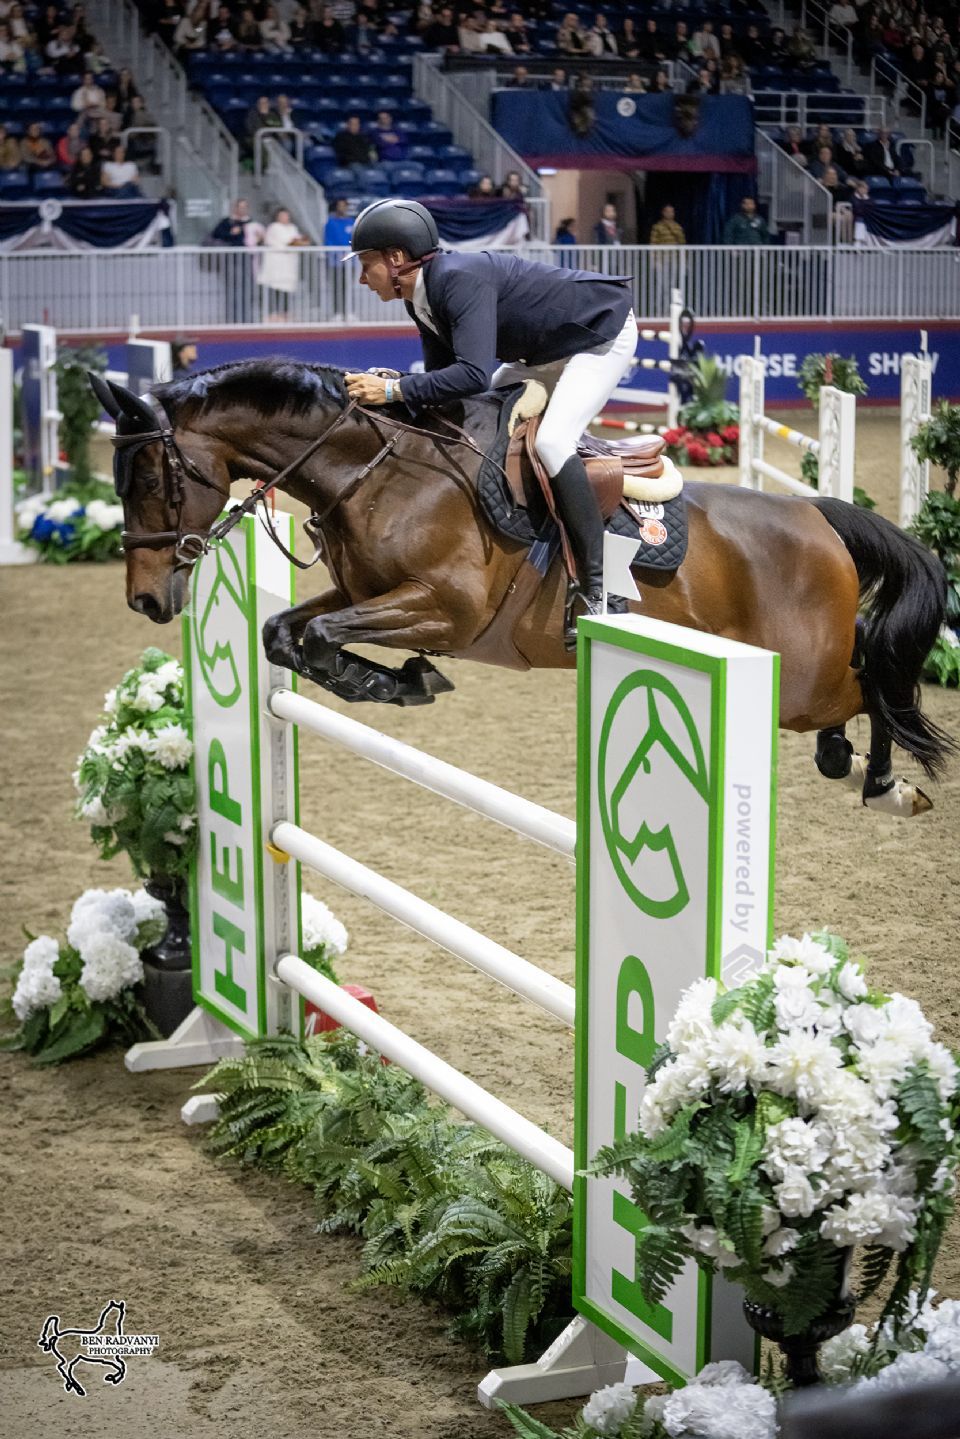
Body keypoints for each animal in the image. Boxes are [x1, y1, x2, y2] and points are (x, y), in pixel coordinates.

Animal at [89, 359, 955, 817]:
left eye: (152, 480)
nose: (145, 600)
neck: (376, 472)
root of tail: (819, 516)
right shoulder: (366, 590)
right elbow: (286, 633)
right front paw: (394, 682)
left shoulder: (446, 611)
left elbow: (327, 638)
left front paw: (404, 681)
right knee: (864, 686)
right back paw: (852, 760)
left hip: (800, 681)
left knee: (877, 688)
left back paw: (886, 783)